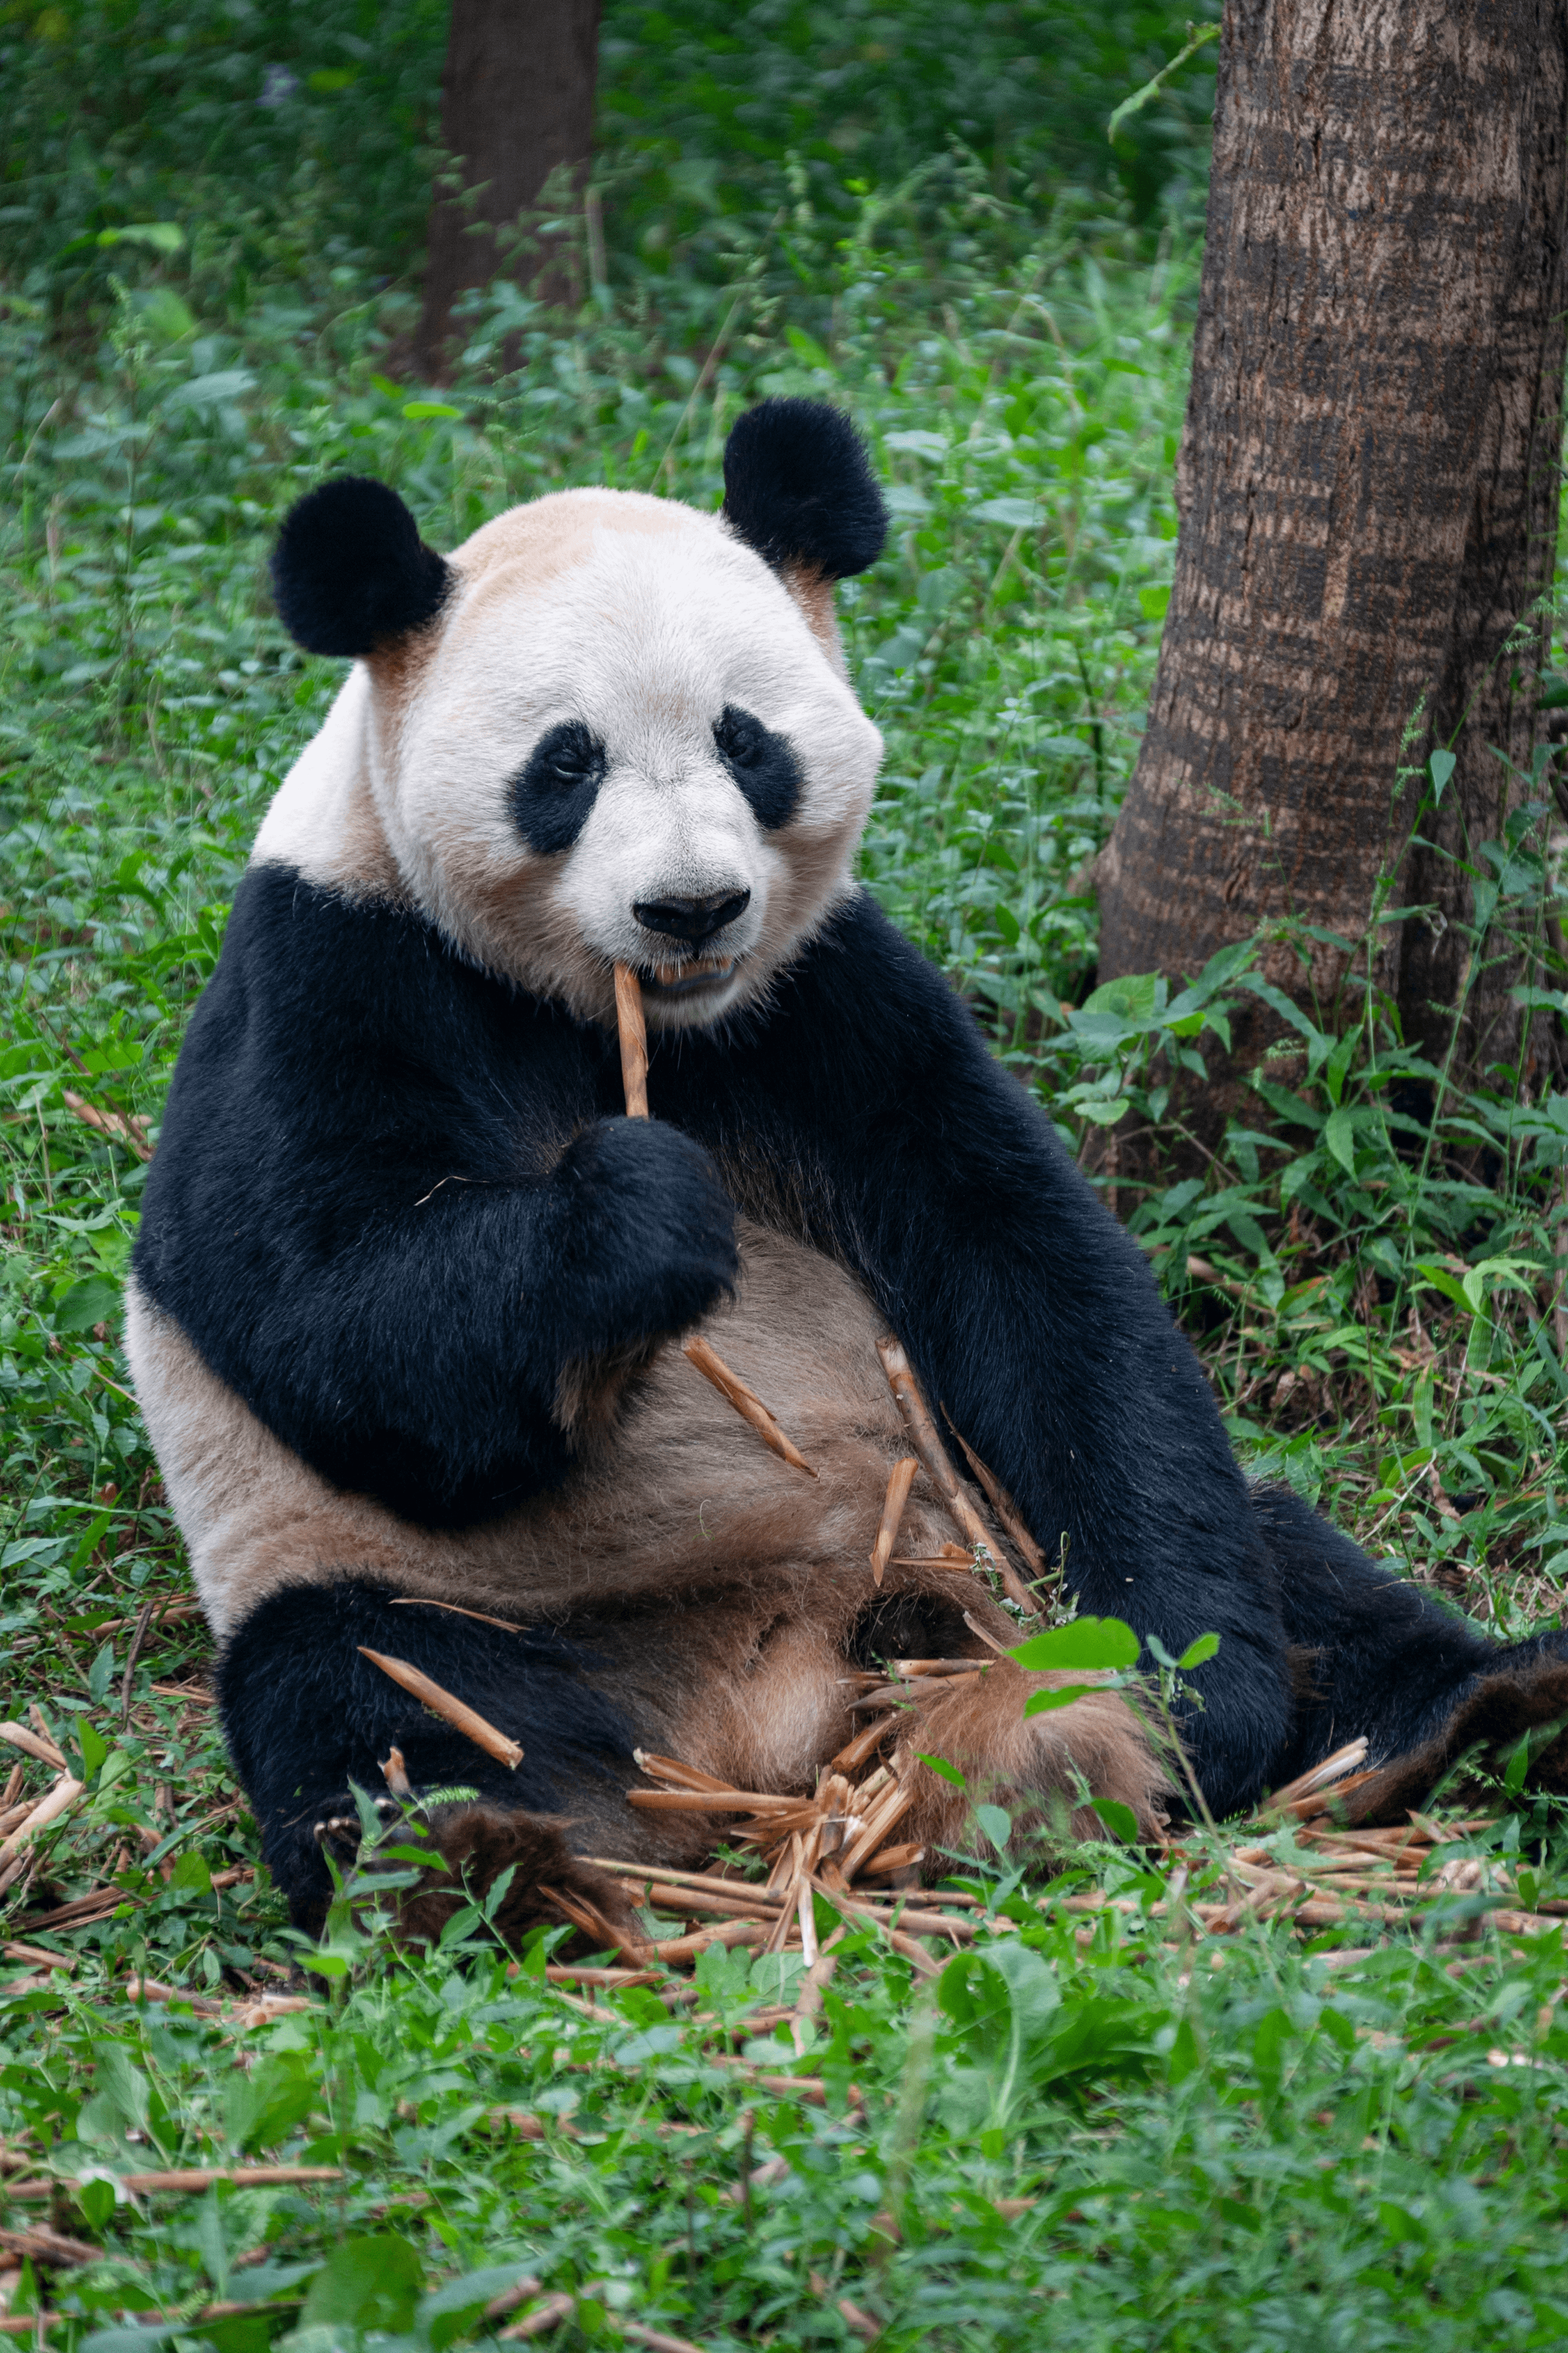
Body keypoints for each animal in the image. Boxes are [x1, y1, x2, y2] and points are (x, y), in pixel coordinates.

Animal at [127, 397, 1568, 1944]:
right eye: (564, 764)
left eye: (745, 740)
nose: (691, 906)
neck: (623, 1015)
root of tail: (766, 1723)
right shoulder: (331, 970)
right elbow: (331, 1324)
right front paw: (637, 1214)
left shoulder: (827, 996)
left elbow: (1031, 1270)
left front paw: (1188, 1694)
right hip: (464, 1601)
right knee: (358, 1686)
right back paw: (488, 1856)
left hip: (961, 1521)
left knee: (1266, 1534)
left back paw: (1465, 1702)